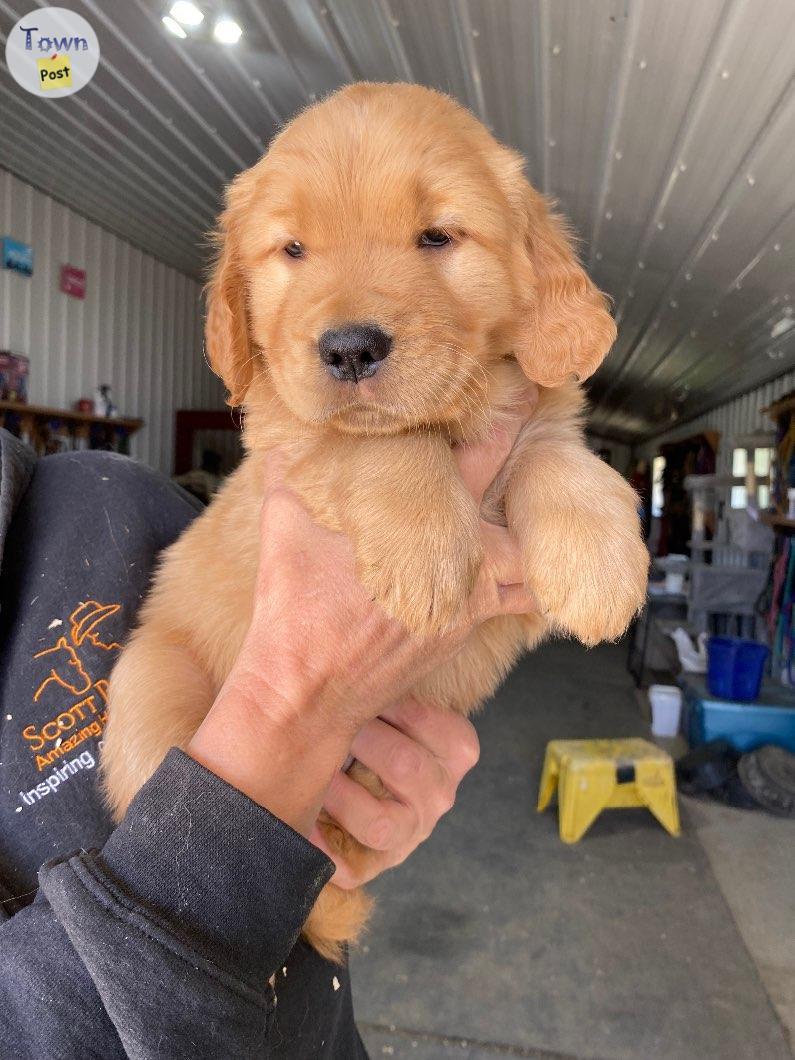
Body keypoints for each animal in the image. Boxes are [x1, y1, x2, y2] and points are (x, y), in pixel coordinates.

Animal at [101, 82, 648, 962]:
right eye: (292, 249)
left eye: (436, 236)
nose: (350, 349)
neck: (460, 420)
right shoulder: (291, 435)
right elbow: (380, 443)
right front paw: (427, 553)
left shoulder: (530, 429)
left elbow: (560, 459)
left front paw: (600, 566)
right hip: (152, 682)